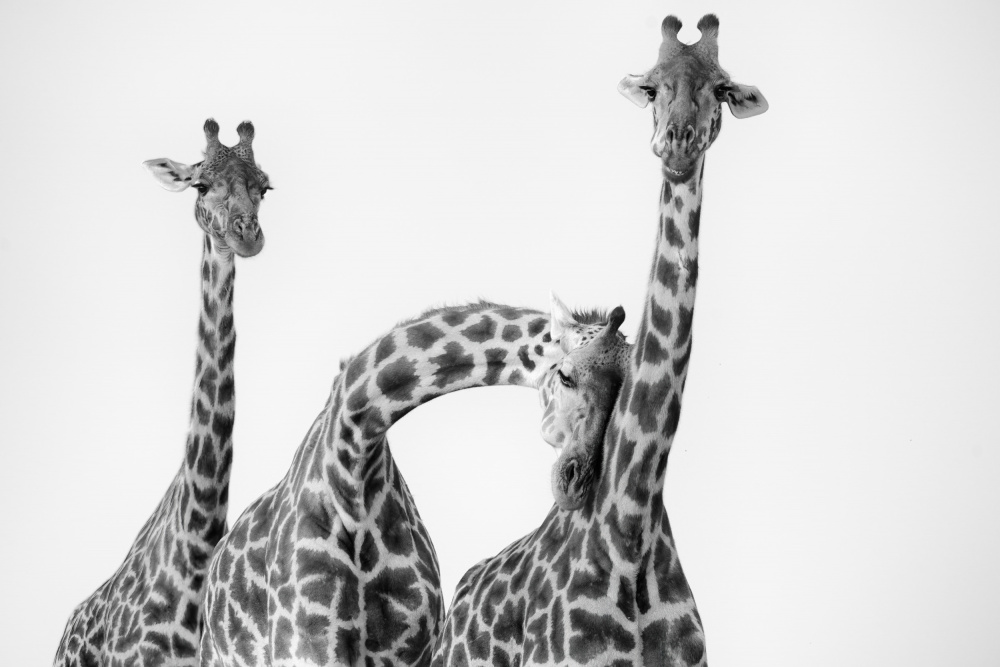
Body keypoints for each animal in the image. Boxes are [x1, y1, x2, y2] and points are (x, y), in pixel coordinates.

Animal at [196, 298, 631, 667]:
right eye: (566, 376)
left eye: (626, 392)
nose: (575, 481)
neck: (353, 463)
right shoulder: (308, 643)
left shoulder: (408, 652)